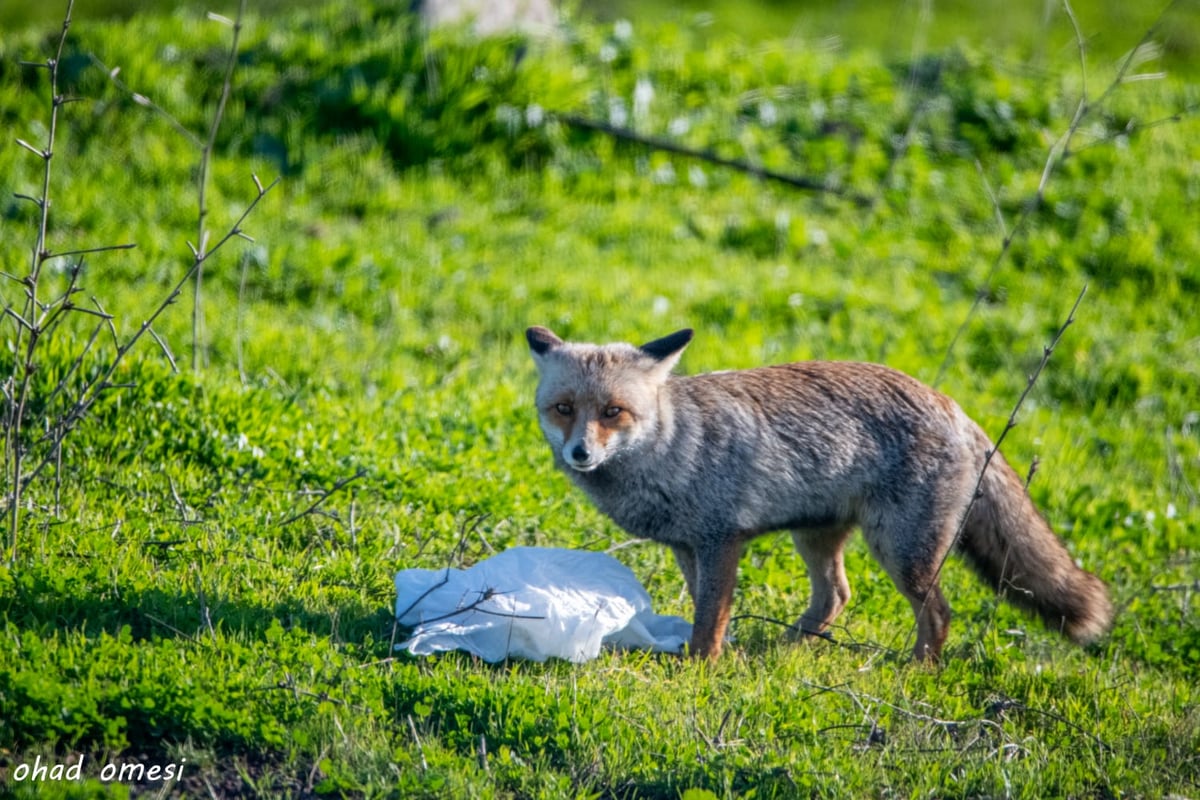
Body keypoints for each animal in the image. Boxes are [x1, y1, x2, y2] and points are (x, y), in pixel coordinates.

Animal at [525, 326, 1113, 662]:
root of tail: (955, 407)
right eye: (564, 409)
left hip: (902, 553)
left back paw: (917, 670)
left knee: (939, 613)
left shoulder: (722, 539)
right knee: (836, 598)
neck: (669, 447)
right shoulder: (688, 546)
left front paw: (701, 666)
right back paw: (782, 650)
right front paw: (714, 654)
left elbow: (710, 617)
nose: (580, 453)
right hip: (816, 539)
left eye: (612, 412)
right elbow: (704, 609)